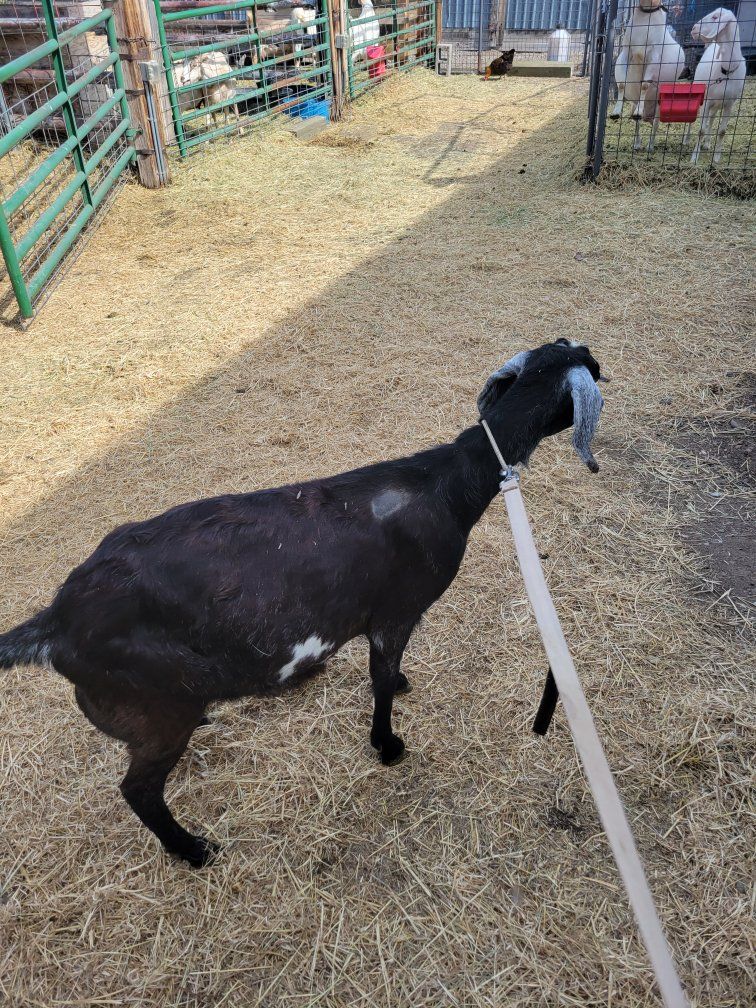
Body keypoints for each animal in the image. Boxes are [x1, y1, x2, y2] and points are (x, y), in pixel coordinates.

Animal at [0, 340, 605, 868]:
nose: (604, 367)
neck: (449, 483)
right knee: (138, 789)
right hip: (158, 703)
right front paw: (387, 746)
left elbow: (388, 670)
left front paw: (401, 689)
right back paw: (192, 850)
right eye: (592, 366)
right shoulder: (394, 613)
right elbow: (380, 680)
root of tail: (56, 622)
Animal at [611, 0, 686, 152]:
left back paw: (650, 146)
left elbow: (645, 84)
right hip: (633, 106)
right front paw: (616, 111)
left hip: (658, 107)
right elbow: (621, 84)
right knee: (637, 122)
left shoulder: (654, 56)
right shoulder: (627, 52)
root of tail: (648, 117)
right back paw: (637, 144)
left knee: (655, 125)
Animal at [686, 7, 746, 164]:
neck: (726, 70)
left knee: (711, 119)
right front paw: (694, 159)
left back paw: (707, 144)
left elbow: (722, 131)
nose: (693, 29)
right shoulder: (706, 101)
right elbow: (701, 130)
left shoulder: (729, 104)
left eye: (715, 17)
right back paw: (686, 140)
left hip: (717, 104)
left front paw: (717, 158)